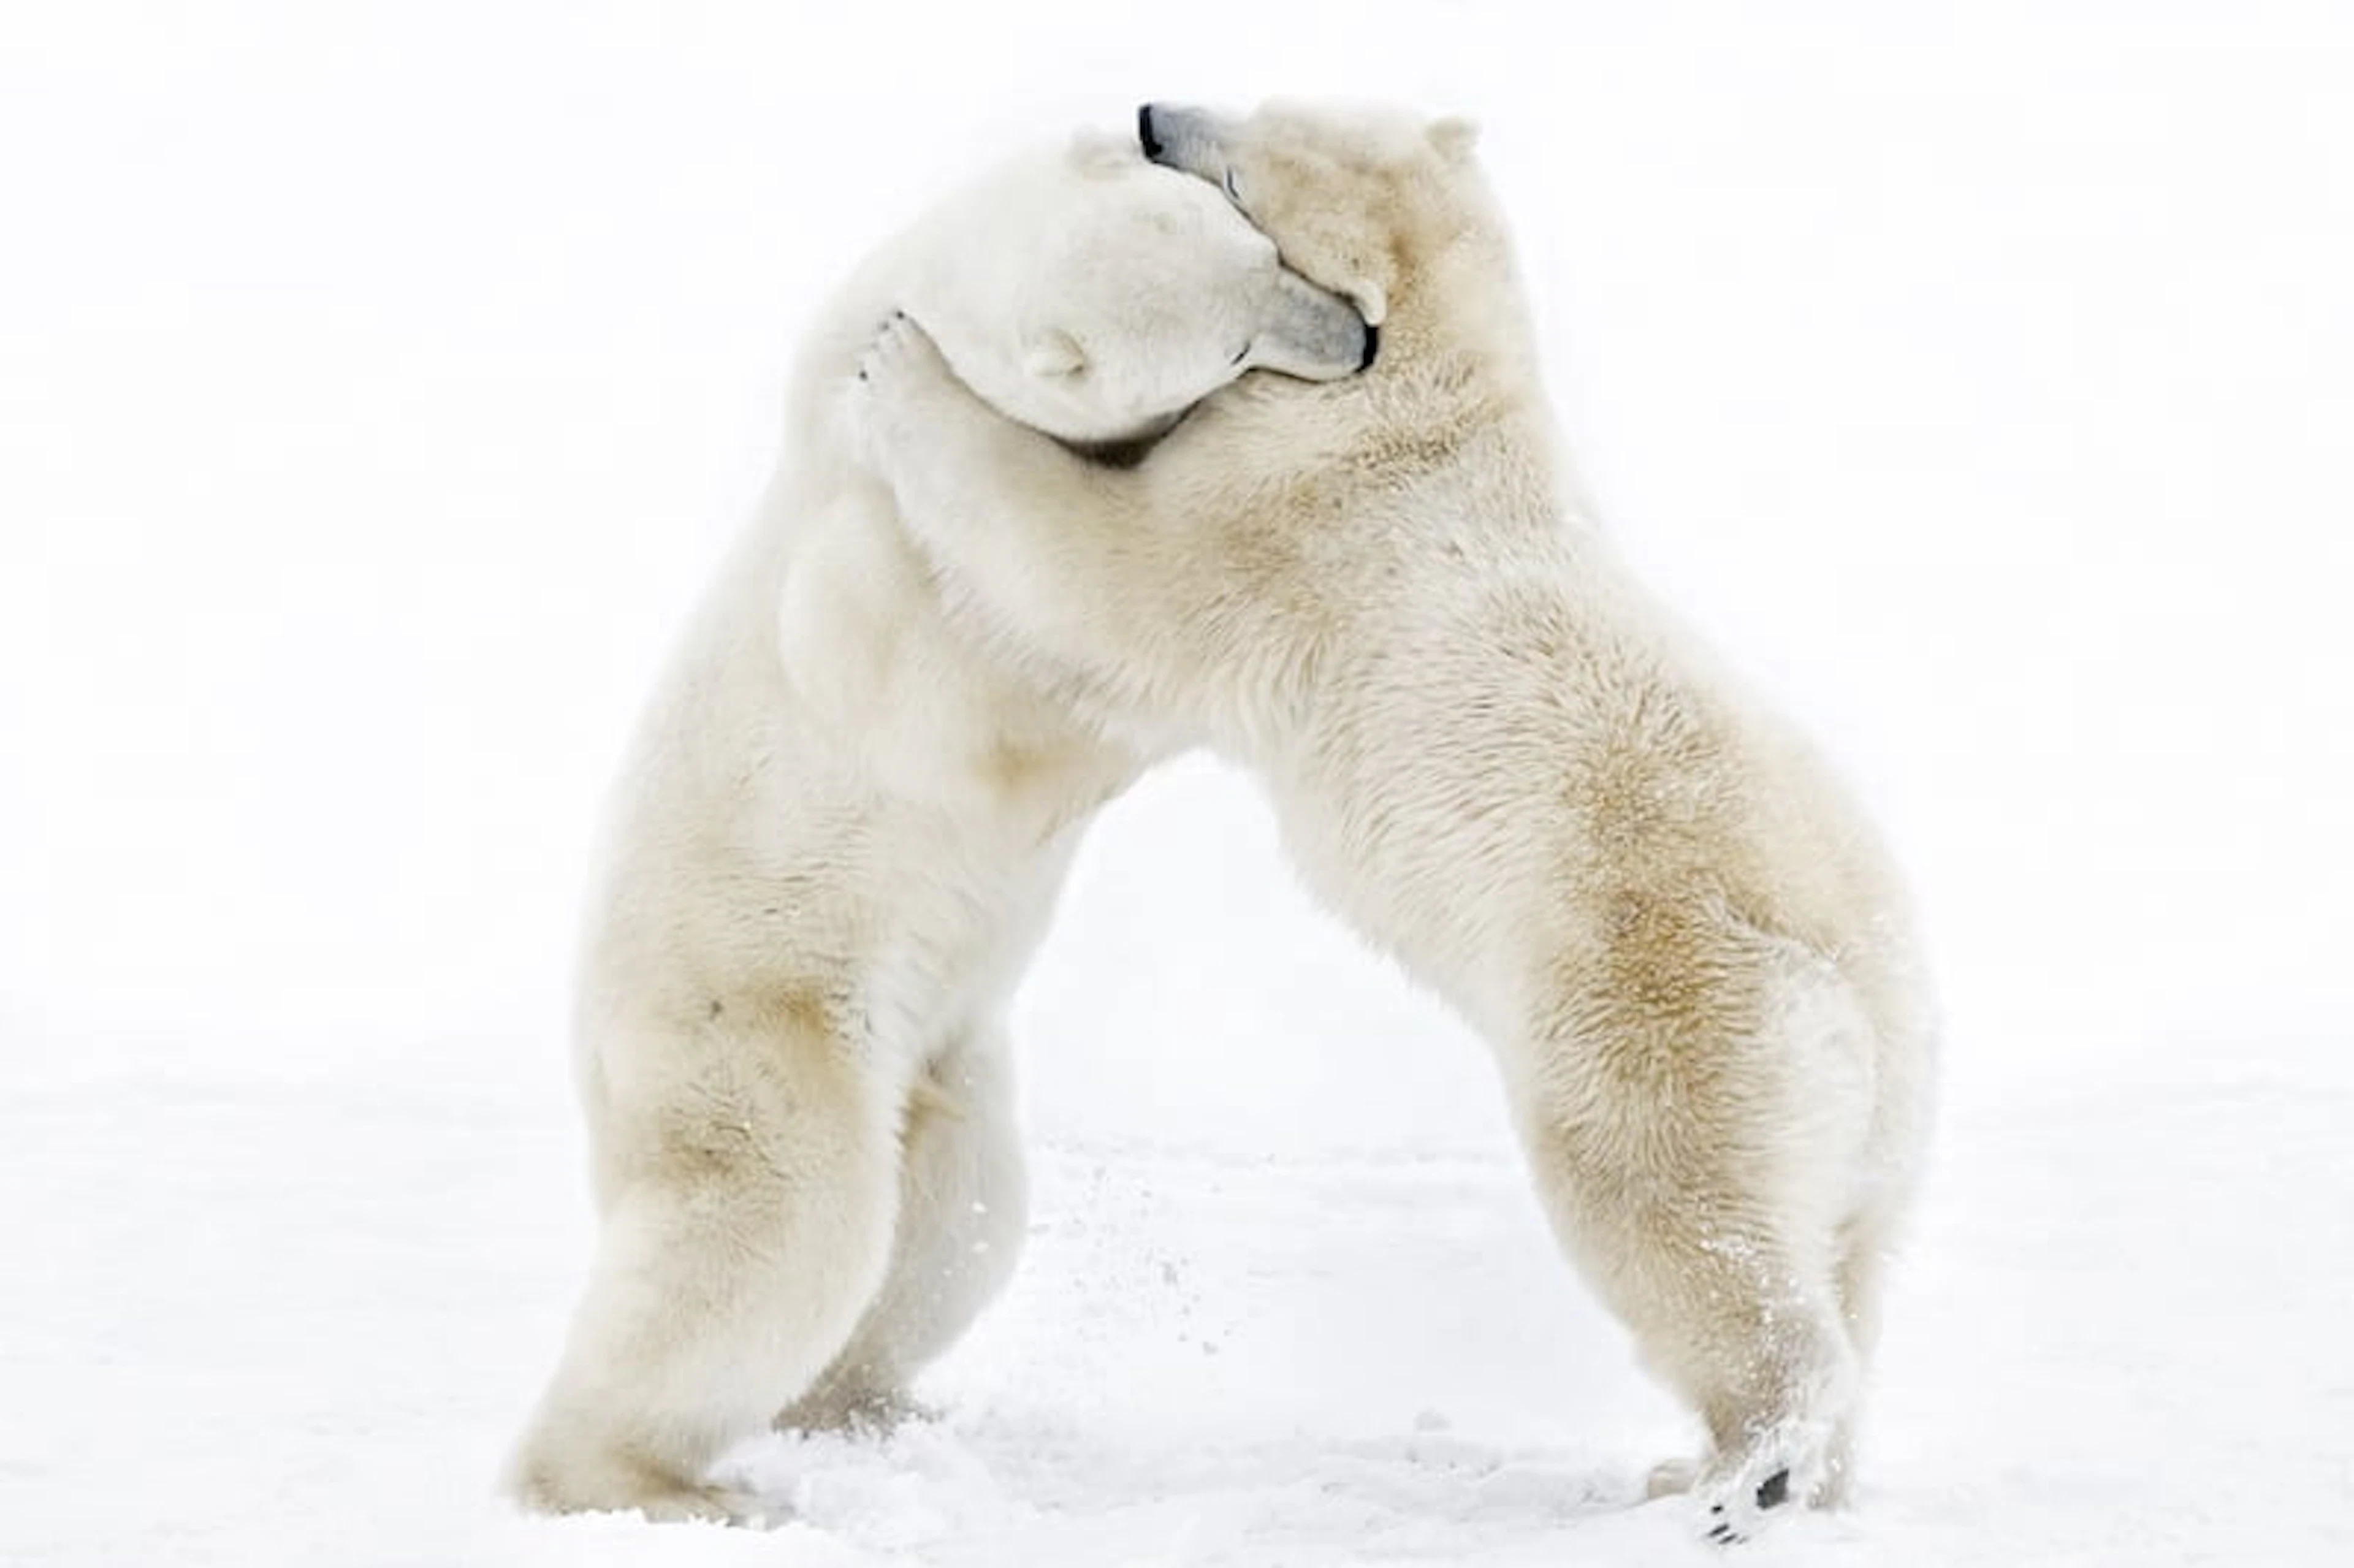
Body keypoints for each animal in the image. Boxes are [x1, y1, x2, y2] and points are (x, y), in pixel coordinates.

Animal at [503, 125, 1371, 1525]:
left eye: (1263, 245)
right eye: (1232, 346)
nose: (1355, 337)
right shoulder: (869, 550)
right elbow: (973, 703)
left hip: (938, 1058)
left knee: (952, 1221)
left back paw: (868, 1401)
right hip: (755, 1024)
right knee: (777, 1230)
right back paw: (651, 1481)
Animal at [842, 99, 1938, 1542]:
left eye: (1242, 178)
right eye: (1259, 102)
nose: (1151, 111)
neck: (1430, 386)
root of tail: (1868, 999)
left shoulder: (1279, 519)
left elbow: (1101, 565)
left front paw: (899, 362)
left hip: (1660, 1008)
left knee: (1675, 1216)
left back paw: (1742, 1468)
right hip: (1873, 1138)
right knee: (1849, 1260)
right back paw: (1735, 1468)